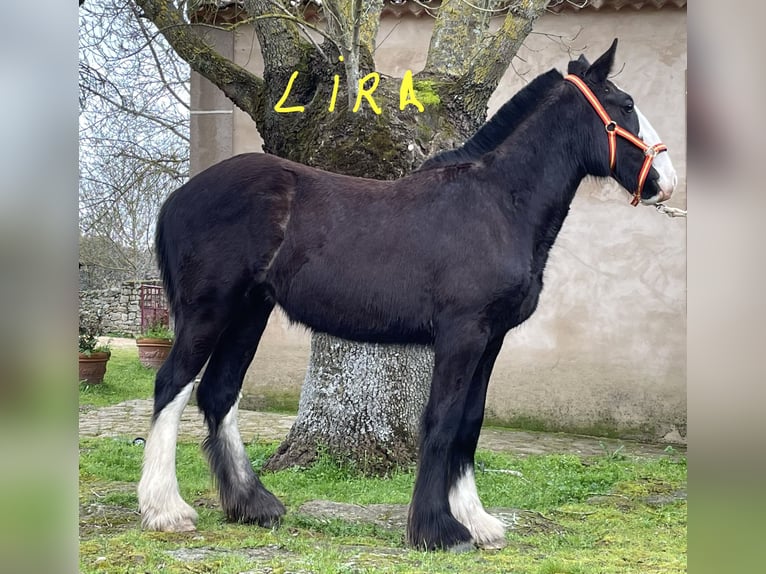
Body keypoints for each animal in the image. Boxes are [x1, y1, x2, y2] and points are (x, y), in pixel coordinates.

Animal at [137, 39, 677, 551]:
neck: (497, 204)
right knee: (172, 385)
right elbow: (441, 420)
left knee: (219, 392)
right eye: (626, 104)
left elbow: (470, 422)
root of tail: (177, 198)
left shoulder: (491, 339)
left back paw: (253, 505)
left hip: (251, 311)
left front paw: (477, 522)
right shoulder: (462, 334)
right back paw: (166, 509)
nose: (666, 183)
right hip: (209, 311)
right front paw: (438, 529)